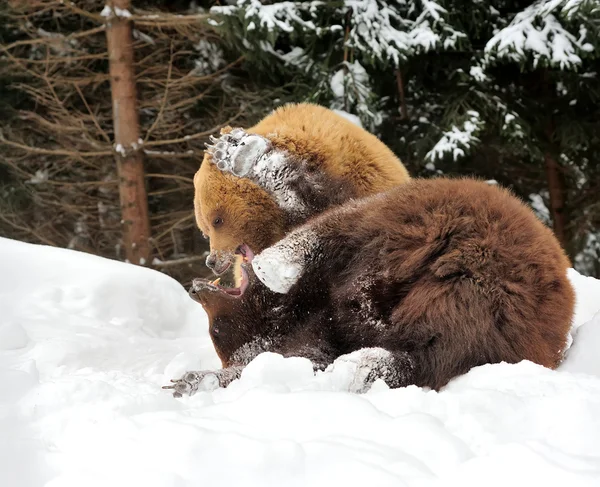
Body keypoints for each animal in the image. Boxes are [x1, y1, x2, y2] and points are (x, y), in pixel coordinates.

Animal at [163, 177, 572, 398]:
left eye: (214, 329)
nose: (196, 286)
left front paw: (188, 380)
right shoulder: (313, 336)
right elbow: (300, 358)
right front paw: (195, 380)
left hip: (424, 216)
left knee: (344, 227)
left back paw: (278, 265)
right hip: (489, 317)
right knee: (440, 345)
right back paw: (362, 364)